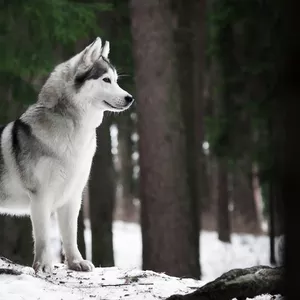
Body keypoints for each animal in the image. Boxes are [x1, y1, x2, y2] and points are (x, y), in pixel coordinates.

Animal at [0, 37, 134, 272]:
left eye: (116, 81)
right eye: (106, 80)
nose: (130, 98)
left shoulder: (73, 197)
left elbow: (71, 236)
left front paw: (76, 263)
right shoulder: (41, 197)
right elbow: (43, 237)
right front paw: (43, 266)